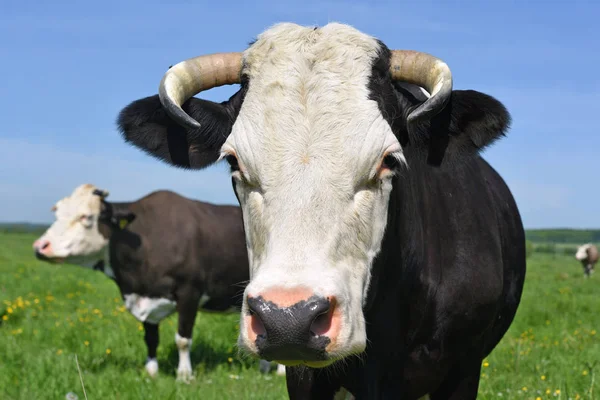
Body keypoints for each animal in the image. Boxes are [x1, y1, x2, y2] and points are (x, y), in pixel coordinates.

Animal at [32, 184, 286, 382]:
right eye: (57, 214)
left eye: (86, 217)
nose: (40, 246)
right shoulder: (145, 297)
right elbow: (151, 338)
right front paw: (151, 372)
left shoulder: (189, 292)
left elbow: (182, 339)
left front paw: (184, 375)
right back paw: (264, 369)